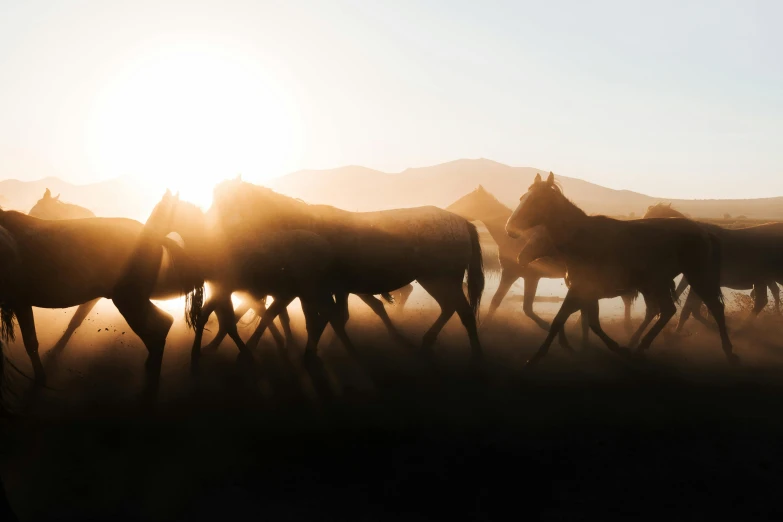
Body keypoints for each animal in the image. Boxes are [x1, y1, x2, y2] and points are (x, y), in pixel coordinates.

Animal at [0, 206, 204, 394]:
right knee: (163, 323)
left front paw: (41, 377)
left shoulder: (20, 301)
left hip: (129, 299)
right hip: (134, 299)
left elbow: (31, 343)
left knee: (159, 327)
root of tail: (155, 236)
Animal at [211, 177, 486, 360]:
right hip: (437, 281)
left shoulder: (307, 289)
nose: (214, 238)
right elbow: (327, 318)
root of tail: (462, 222)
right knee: (450, 308)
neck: (305, 225)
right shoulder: (325, 289)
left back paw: (475, 354)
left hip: (440, 279)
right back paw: (427, 341)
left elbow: (298, 316)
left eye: (228, 204)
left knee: (463, 312)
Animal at [444, 186, 640, 334]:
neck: (517, 240)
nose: (449, 211)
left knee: (624, 299)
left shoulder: (529, 277)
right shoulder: (511, 274)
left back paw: (626, 328)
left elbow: (526, 308)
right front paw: (485, 326)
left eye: (467, 198)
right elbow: (497, 301)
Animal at [506, 172, 740, 366]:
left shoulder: (581, 289)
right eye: (522, 198)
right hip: (658, 284)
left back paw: (728, 353)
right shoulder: (587, 292)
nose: (510, 229)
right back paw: (639, 347)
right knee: (666, 311)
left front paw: (536, 357)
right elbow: (586, 322)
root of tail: (703, 230)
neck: (583, 240)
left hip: (694, 277)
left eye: (536, 201)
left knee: (712, 309)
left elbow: (564, 320)